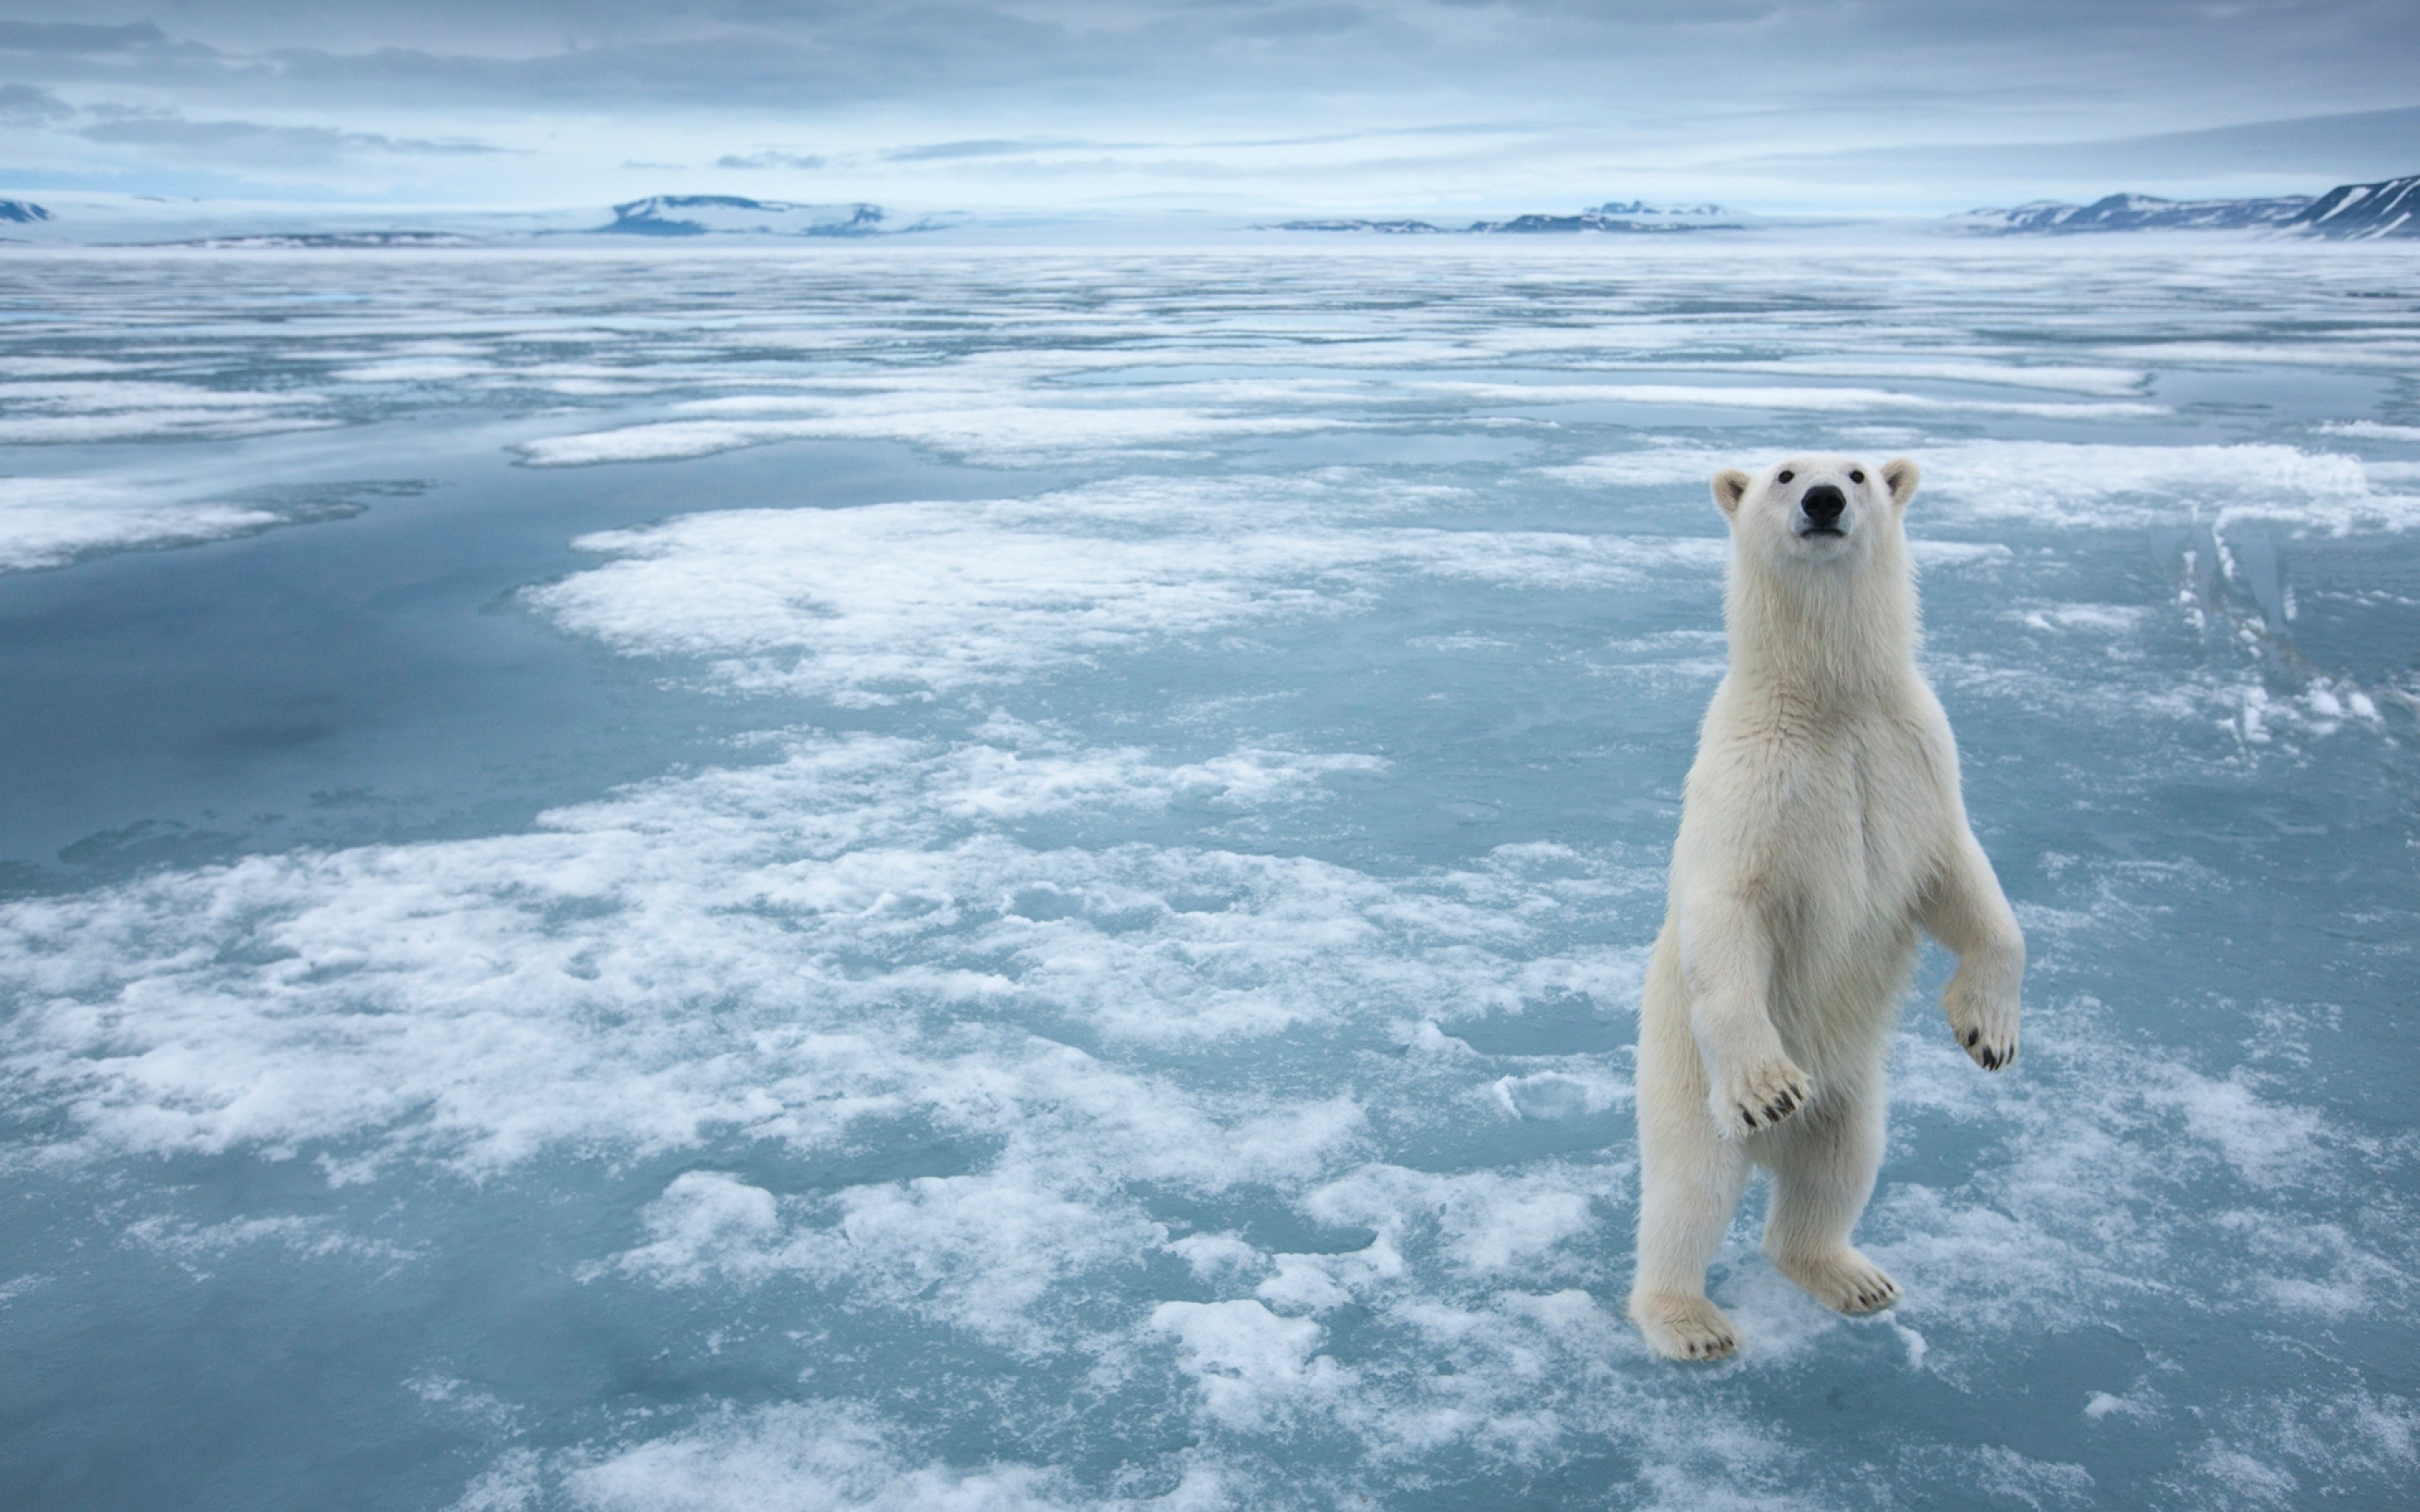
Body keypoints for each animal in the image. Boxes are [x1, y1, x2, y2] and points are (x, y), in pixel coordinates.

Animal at [1626, 454, 2023, 1364]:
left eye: (1860, 470)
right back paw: (1689, 1320)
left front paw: (1988, 1032)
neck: (1832, 701)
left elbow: (1964, 885)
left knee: (1840, 1168)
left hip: (1854, 1089)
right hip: (1682, 1079)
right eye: (1782, 472)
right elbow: (1728, 911)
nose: (1824, 500)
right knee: (1689, 1191)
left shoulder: (1915, 759)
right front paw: (1770, 1085)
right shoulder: (1753, 781)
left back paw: (1852, 1276)